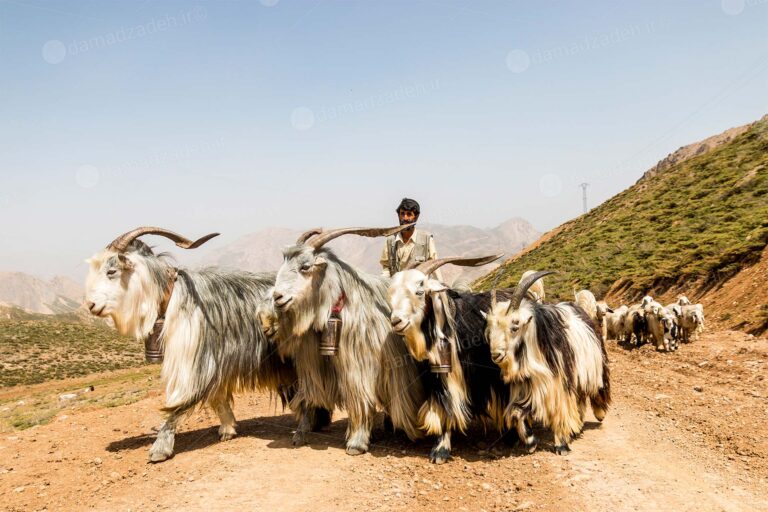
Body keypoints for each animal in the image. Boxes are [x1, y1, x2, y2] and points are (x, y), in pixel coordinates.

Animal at [484, 271, 611, 454]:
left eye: (515, 326)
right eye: (490, 330)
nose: (496, 355)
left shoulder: (560, 385)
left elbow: (561, 411)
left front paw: (561, 445)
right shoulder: (528, 386)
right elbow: (516, 412)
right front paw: (530, 442)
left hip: (596, 365)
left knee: (597, 389)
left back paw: (599, 413)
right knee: (580, 399)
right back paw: (578, 425)